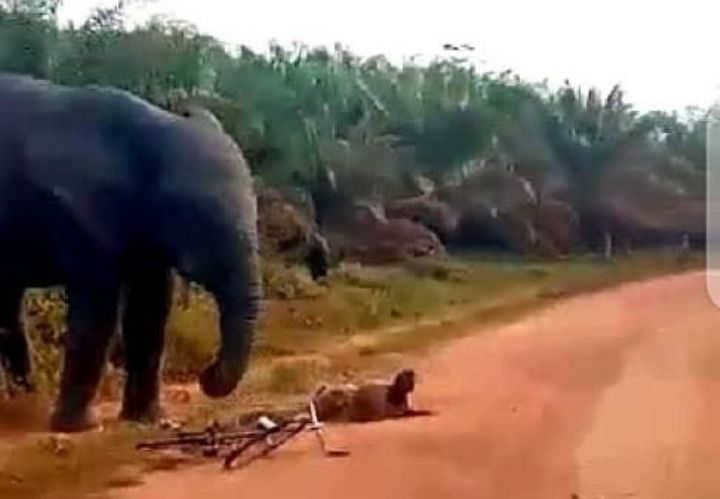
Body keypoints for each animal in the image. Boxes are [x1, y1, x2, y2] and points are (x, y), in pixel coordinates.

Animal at [0, 73, 262, 432]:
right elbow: (99, 311)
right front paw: (77, 427)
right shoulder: (79, 214)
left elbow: (150, 310)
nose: (205, 375)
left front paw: (145, 419)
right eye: (201, 219)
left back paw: (25, 403)